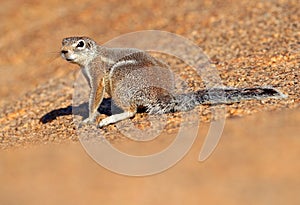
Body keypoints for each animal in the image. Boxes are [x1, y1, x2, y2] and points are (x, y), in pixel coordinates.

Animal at [60, 36, 286, 127]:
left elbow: (95, 95)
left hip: (120, 78)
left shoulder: (97, 74)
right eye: (63, 42)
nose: (63, 52)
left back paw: (109, 119)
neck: (90, 57)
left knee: (132, 111)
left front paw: (89, 119)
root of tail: (163, 95)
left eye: (80, 44)